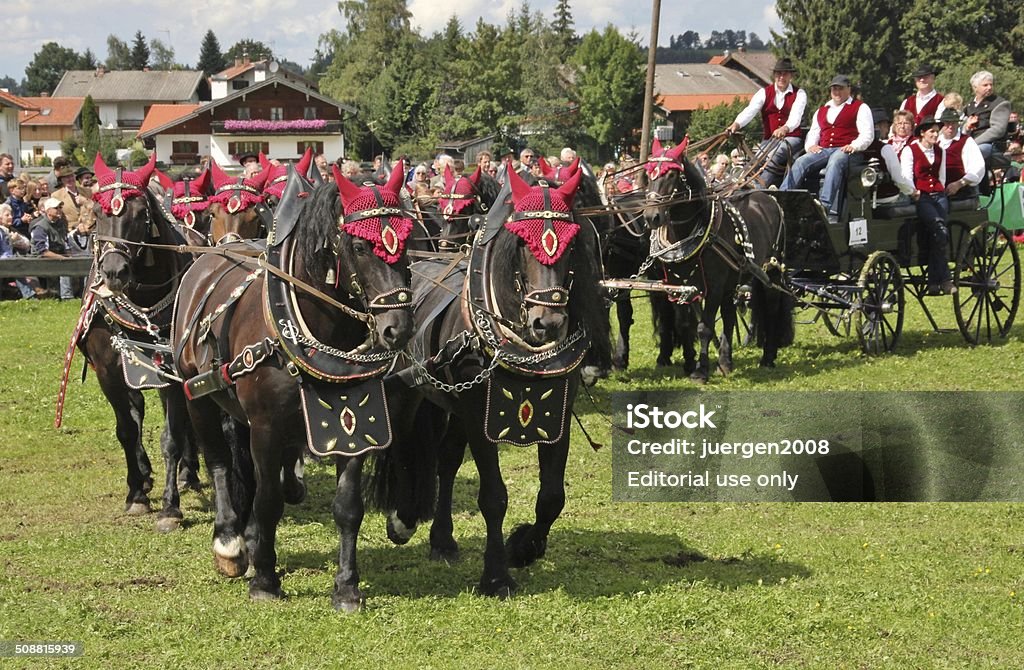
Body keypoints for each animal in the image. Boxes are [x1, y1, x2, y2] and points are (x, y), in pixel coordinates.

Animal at [55, 154, 199, 532]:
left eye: (139, 213)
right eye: (98, 210)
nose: (114, 272)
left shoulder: (170, 373)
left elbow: (172, 436)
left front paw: (170, 507)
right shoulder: (109, 371)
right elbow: (126, 429)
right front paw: (136, 493)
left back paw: (188, 473)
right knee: (136, 412)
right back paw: (145, 476)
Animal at [174, 163, 413, 614]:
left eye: (407, 242)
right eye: (360, 246)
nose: (398, 328)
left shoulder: (356, 424)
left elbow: (348, 506)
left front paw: (347, 587)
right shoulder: (266, 428)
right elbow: (267, 500)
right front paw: (265, 579)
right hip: (197, 397)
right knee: (219, 462)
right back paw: (230, 541)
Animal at [382, 162, 606, 598]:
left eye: (572, 243)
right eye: (521, 243)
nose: (548, 322)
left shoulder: (557, 412)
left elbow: (552, 496)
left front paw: (524, 547)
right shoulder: (478, 415)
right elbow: (493, 497)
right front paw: (497, 575)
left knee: (447, 460)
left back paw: (442, 540)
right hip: (415, 394)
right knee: (402, 444)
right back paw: (402, 519)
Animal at [643, 139, 794, 381]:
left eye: (673, 175)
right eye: (649, 175)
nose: (651, 217)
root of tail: (769, 199)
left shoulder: (713, 287)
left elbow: (704, 328)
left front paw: (700, 371)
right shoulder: (680, 287)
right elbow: (686, 324)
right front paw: (695, 363)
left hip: (770, 271)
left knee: (771, 308)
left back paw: (768, 357)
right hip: (733, 280)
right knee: (730, 315)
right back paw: (726, 361)